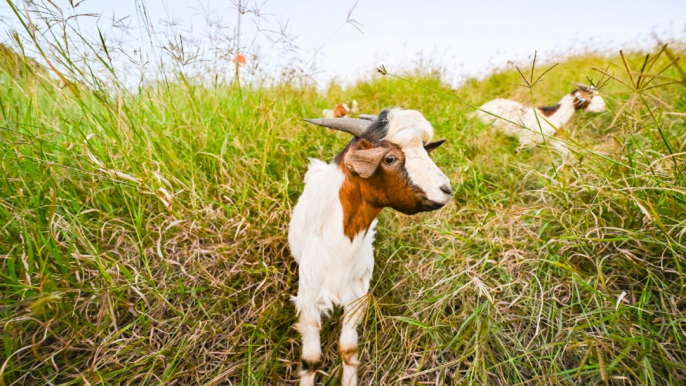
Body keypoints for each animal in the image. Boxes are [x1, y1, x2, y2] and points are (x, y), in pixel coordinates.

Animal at [288, 108, 454, 386]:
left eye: (425, 150)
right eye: (389, 158)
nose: (446, 190)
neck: (340, 244)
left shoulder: (357, 294)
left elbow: (348, 349)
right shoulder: (309, 298)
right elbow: (310, 361)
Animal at [478, 85, 608, 157]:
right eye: (590, 97)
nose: (603, 106)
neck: (552, 116)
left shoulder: (551, 138)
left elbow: (565, 151)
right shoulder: (526, 141)